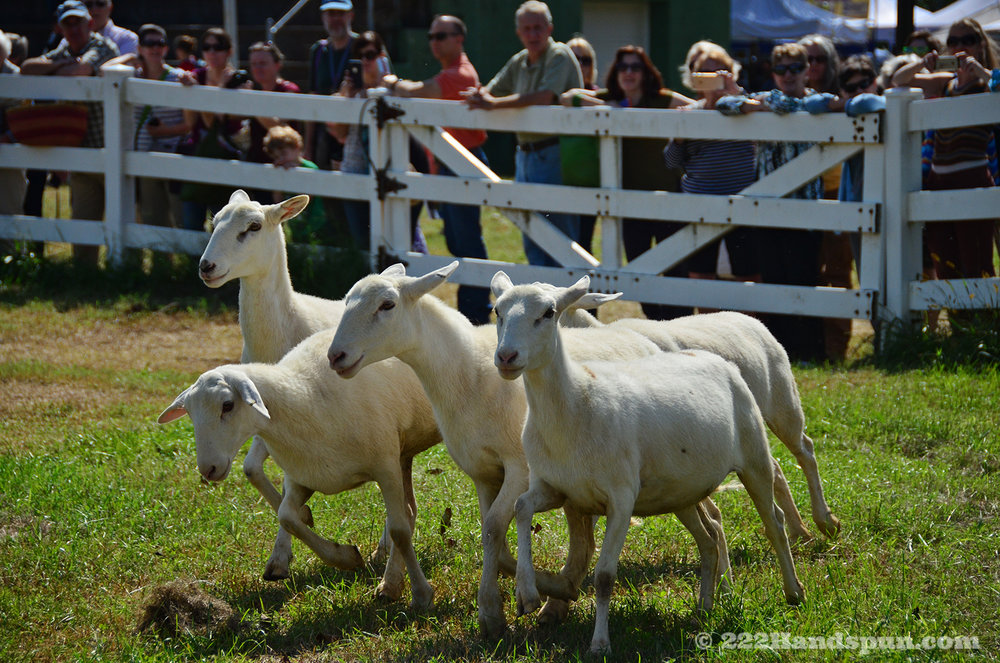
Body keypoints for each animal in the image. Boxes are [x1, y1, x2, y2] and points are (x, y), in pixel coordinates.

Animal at [158, 330, 440, 608]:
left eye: (227, 405)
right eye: (190, 414)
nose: (208, 468)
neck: (305, 398)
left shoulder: (385, 467)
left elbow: (399, 529)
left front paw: (417, 593)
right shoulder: (302, 476)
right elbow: (287, 517)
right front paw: (346, 556)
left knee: (404, 517)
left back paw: (391, 579)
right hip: (403, 453)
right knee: (409, 510)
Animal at [324, 264, 732, 640]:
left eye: (387, 304)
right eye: (345, 301)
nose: (335, 356)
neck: (466, 375)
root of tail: (642, 339)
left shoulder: (519, 468)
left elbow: (493, 529)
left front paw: (494, 609)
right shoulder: (484, 474)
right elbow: (494, 535)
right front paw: (519, 599)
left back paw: (720, 589)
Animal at [492, 272, 804, 656]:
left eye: (549, 313)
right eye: (497, 311)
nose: (506, 356)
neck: (576, 403)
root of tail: (715, 358)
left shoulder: (621, 497)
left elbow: (604, 577)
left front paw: (600, 643)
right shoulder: (554, 488)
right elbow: (521, 508)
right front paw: (526, 592)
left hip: (754, 454)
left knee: (774, 521)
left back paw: (794, 592)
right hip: (682, 490)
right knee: (708, 539)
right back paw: (704, 608)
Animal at [564, 304, 836, 544]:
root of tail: (748, 318)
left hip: (782, 404)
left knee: (805, 451)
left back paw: (825, 521)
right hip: (750, 431)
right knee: (775, 467)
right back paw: (799, 531)